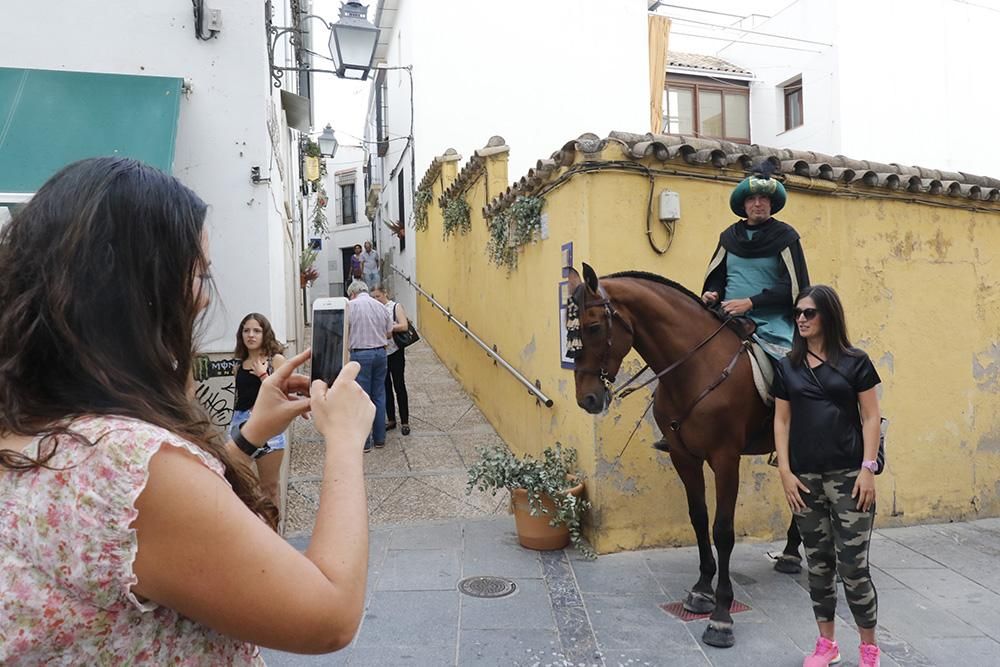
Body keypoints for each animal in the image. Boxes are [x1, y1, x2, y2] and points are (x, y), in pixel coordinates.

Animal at [568, 264, 800, 648]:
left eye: (594, 327)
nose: (587, 399)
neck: (697, 367)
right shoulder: (683, 456)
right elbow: (698, 517)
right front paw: (702, 589)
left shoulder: (725, 459)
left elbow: (723, 530)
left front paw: (721, 616)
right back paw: (793, 553)